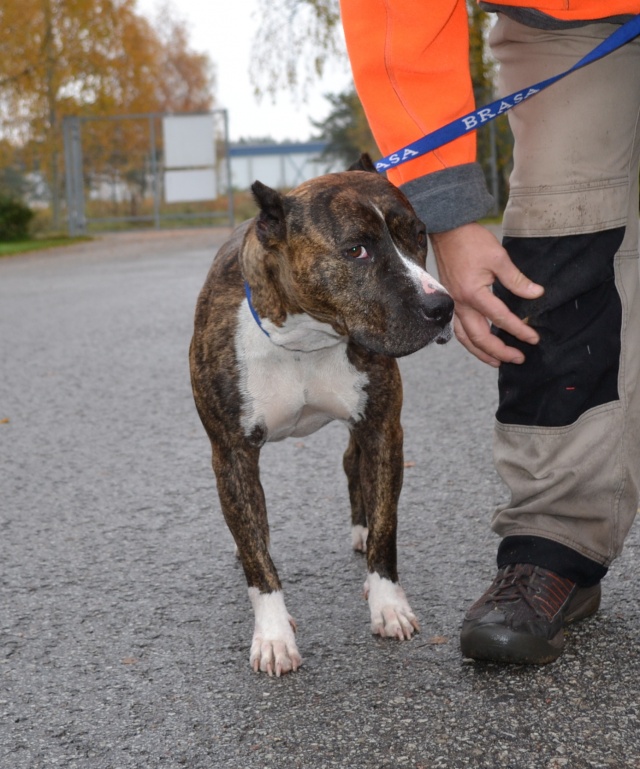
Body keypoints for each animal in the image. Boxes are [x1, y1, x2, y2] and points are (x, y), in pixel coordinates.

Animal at [189, 155, 454, 676]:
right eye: (356, 250)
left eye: (419, 234)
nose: (442, 306)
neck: (304, 337)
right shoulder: (232, 453)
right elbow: (258, 559)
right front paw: (273, 634)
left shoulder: (381, 429)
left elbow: (386, 530)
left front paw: (388, 604)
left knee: (353, 467)